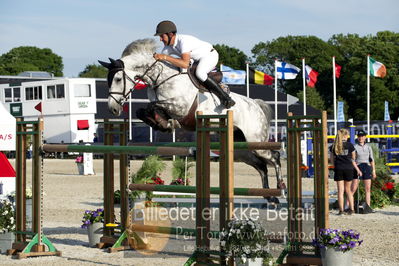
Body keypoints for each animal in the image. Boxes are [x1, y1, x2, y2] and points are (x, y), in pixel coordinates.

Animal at [99, 38, 284, 193]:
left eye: (117, 79)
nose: (113, 109)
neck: (162, 78)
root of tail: (257, 106)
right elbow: (143, 110)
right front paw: (162, 123)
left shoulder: (180, 107)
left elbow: (154, 106)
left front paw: (167, 123)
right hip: (240, 147)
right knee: (261, 165)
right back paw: (269, 196)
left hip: (256, 141)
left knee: (274, 157)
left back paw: (280, 186)